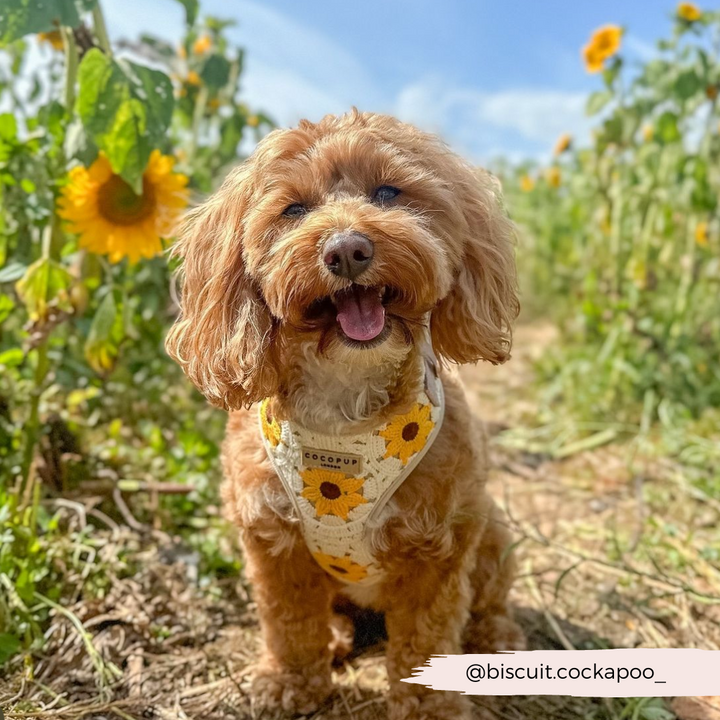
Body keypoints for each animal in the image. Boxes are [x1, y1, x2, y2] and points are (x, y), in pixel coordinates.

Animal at [167, 109, 524, 716]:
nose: (347, 250)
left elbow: (427, 638)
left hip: (492, 531)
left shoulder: (439, 548)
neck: (343, 404)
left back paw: (497, 639)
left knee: (488, 603)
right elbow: (290, 625)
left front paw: (428, 707)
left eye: (388, 192)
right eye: (293, 210)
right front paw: (290, 683)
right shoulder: (273, 542)